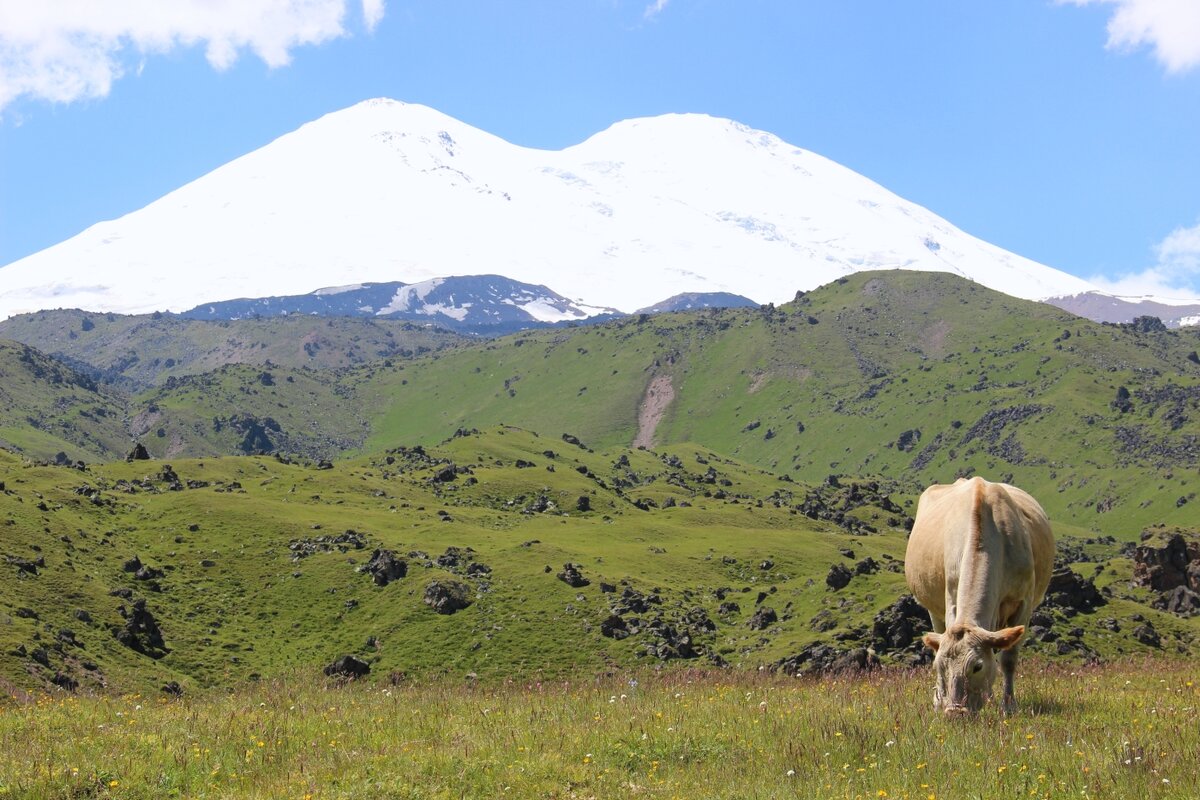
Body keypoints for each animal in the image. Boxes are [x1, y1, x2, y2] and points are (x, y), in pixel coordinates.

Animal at [907, 479, 1051, 714]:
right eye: (939, 666)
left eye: (977, 666)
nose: (955, 712)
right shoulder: (951, 595)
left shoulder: (1024, 603)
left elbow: (1008, 659)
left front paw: (1008, 705)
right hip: (933, 609)